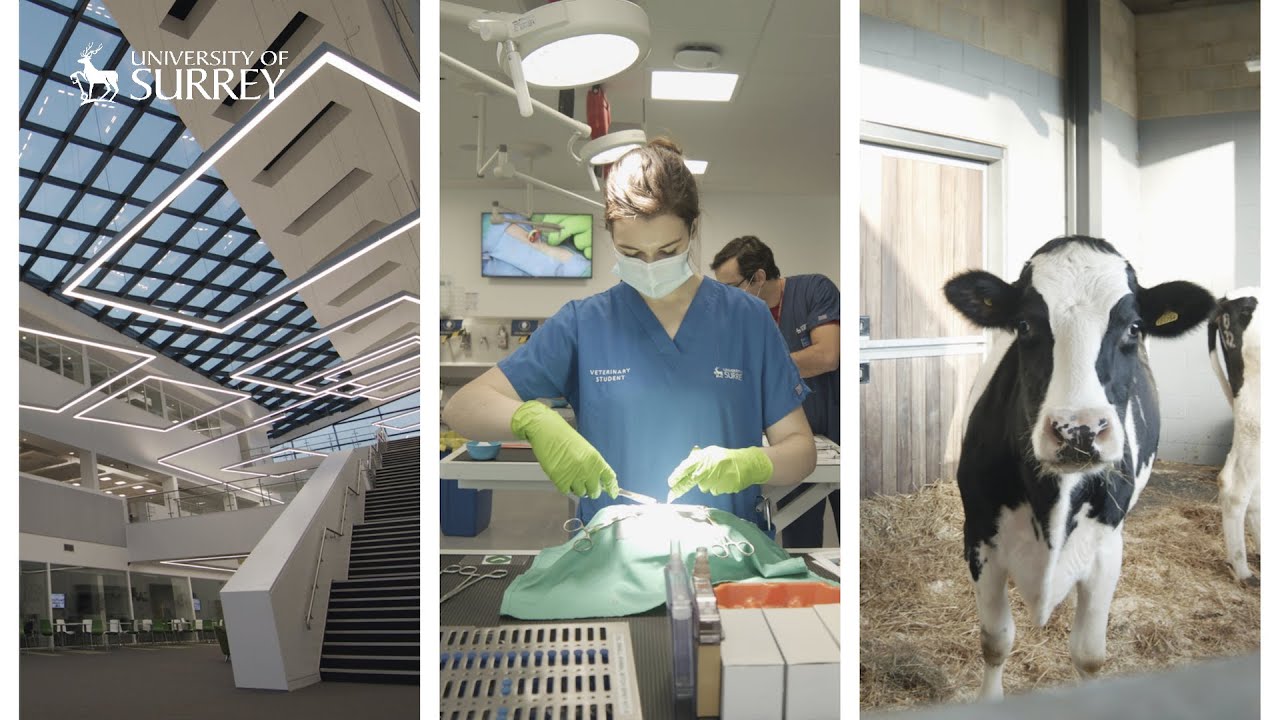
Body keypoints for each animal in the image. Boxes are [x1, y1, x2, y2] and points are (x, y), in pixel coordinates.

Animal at [947, 237, 1213, 702]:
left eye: (1134, 328)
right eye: (1024, 325)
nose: (1079, 430)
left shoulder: (1106, 549)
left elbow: (1089, 655)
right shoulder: (979, 538)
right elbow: (996, 641)